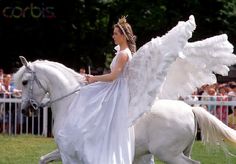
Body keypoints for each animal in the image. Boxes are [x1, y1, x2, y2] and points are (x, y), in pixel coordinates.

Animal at [13, 57, 236, 163]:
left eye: (24, 82)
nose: (25, 110)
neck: (71, 103)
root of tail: (190, 109)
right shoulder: (63, 152)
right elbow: (43, 159)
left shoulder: (70, 153)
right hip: (179, 152)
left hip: (169, 154)